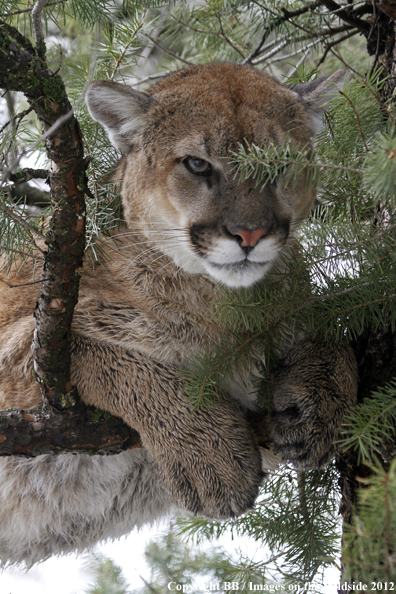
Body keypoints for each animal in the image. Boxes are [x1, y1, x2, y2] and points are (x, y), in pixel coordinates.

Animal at [0, 63, 358, 564]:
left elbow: (332, 332)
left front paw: (322, 403)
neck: (223, 307)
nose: (250, 234)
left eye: (278, 163)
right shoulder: (26, 339)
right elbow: (113, 357)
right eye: (197, 165)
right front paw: (208, 450)